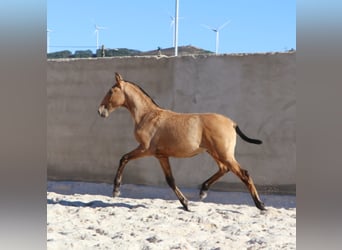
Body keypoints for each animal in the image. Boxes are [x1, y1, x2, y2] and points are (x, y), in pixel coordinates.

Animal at [97, 73, 266, 211]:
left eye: (111, 91)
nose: (100, 111)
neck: (148, 115)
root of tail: (232, 123)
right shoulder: (161, 155)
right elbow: (170, 180)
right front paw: (185, 203)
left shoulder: (145, 149)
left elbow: (123, 158)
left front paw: (116, 190)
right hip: (214, 152)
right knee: (224, 169)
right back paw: (203, 191)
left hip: (223, 153)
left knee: (243, 174)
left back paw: (260, 205)